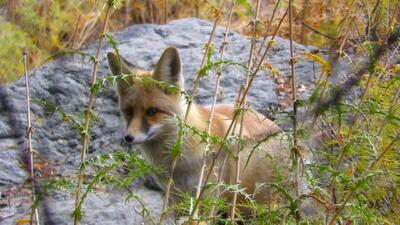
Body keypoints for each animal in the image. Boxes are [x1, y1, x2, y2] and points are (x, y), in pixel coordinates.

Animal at [106, 47, 318, 220]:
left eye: (152, 111)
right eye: (128, 112)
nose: (128, 138)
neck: (177, 161)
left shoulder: (208, 194)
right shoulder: (175, 197)